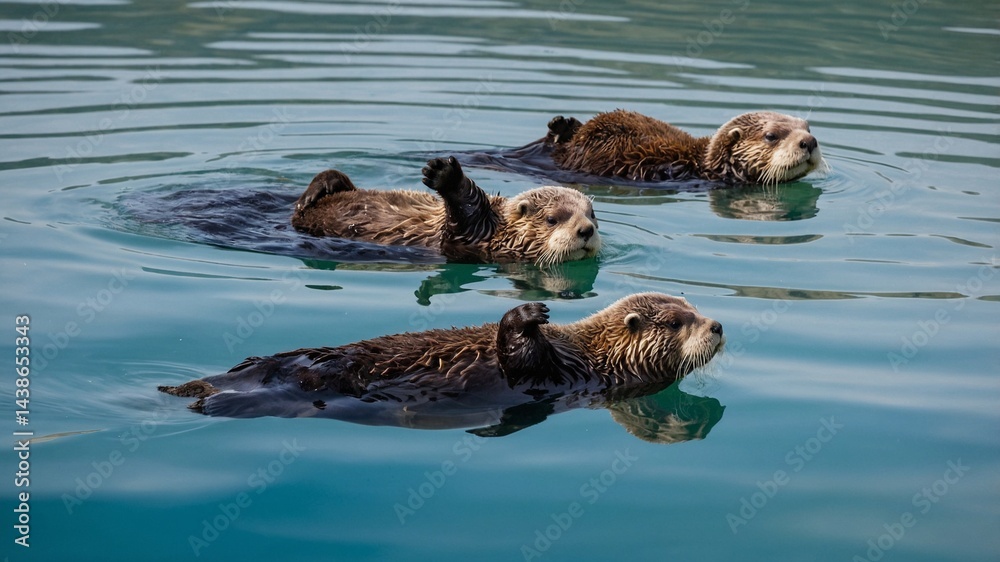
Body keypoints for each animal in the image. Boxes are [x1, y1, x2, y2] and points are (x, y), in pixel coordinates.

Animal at [291, 156, 600, 266]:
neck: (498, 228)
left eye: (592, 214)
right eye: (552, 219)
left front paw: (445, 175)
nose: (586, 229)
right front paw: (444, 172)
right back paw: (315, 191)